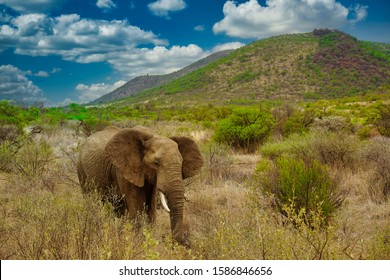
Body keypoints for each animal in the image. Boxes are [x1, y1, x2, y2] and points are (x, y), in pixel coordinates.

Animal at [76, 124, 204, 245]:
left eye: (181, 163)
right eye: (156, 163)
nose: (184, 242)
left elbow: (151, 209)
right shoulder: (124, 170)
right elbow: (136, 208)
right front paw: (138, 242)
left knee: (118, 208)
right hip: (81, 170)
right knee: (92, 202)